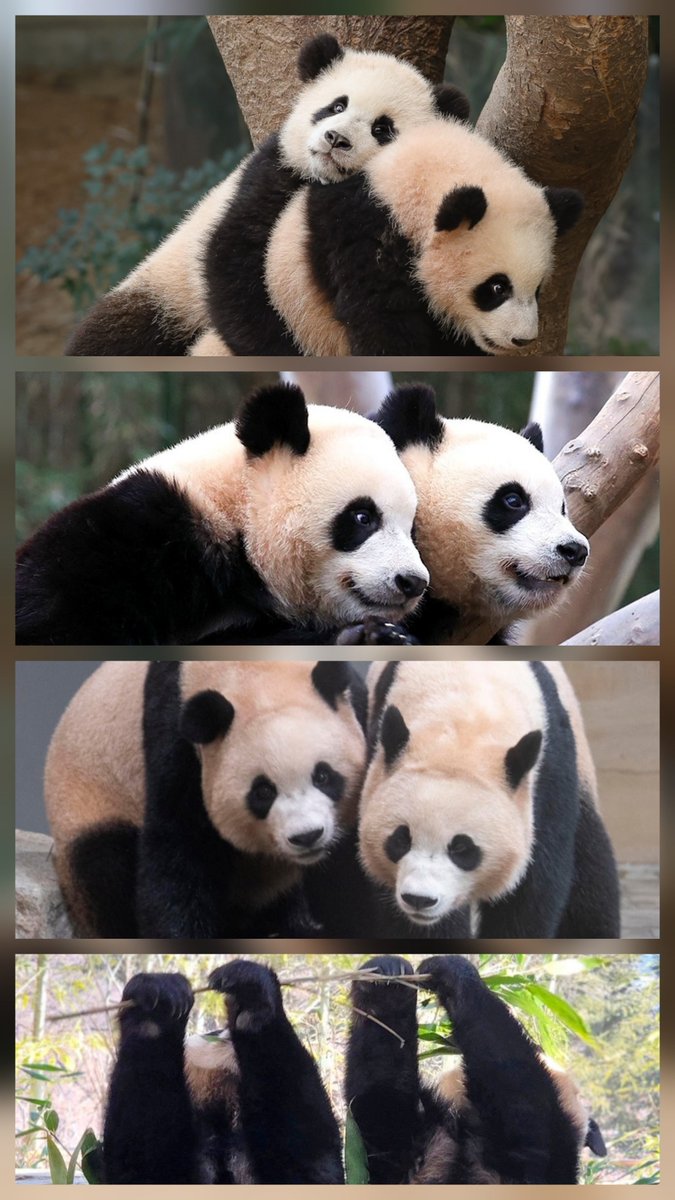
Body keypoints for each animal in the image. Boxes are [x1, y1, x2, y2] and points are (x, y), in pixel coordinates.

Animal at [44, 659, 368, 938]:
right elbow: (179, 847)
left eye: (323, 776)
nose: (307, 836)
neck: (254, 673)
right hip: (92, 804)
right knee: (105, 864)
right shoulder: (176, 737)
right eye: (263, 792)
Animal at [65, 33, 468, 356]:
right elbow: (235, 259)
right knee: (116, 334)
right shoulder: (273, 174)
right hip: (165, 292)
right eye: (337, 105)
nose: (335, 139)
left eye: (382, 129)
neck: (320, 180)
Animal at [346, 955, 606, 1185]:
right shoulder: (425, 1147)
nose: (539, 1044)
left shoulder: (540, 1154)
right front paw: (387, 977)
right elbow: (382, 1103)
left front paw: (452, 971)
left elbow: (519, 1088)